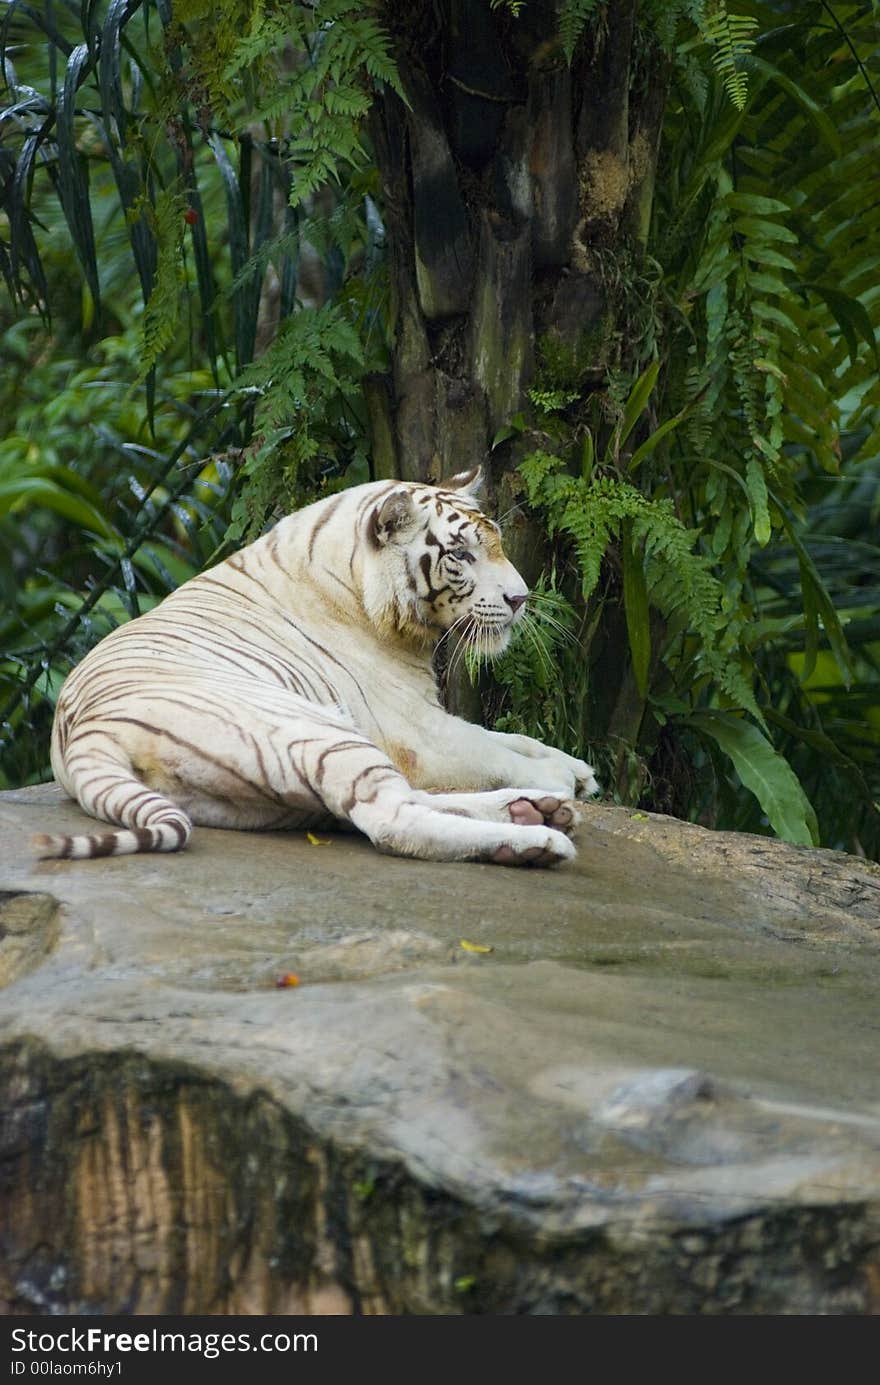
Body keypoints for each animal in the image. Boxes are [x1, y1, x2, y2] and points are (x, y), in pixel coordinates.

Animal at [36, 470, 598, 869]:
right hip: (318, 730)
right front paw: (558, 777)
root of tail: (82, 736)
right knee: (392, 819)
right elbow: (486, 747)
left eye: (496, 543)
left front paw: (574, 770)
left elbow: (506, 737)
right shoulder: (414, 729)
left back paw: (536, 809)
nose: (521, 599)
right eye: (461, 554)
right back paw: (537, 837)